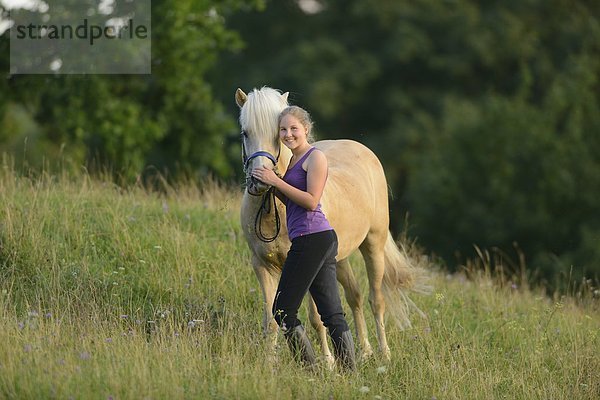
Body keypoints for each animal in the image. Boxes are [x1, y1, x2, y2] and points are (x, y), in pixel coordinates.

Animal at [237, 86, 428, 364]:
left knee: (376, 300)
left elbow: (316, 318)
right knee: (355, 296)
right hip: (339, 259)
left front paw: (327, 363)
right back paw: (365, 351)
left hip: (374, 245)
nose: (260, 181)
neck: (274, 210)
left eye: (277, 133)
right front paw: (268, 363)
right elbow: (273, 318)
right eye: (245, 132)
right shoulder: (262, 266)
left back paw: (384, 354)